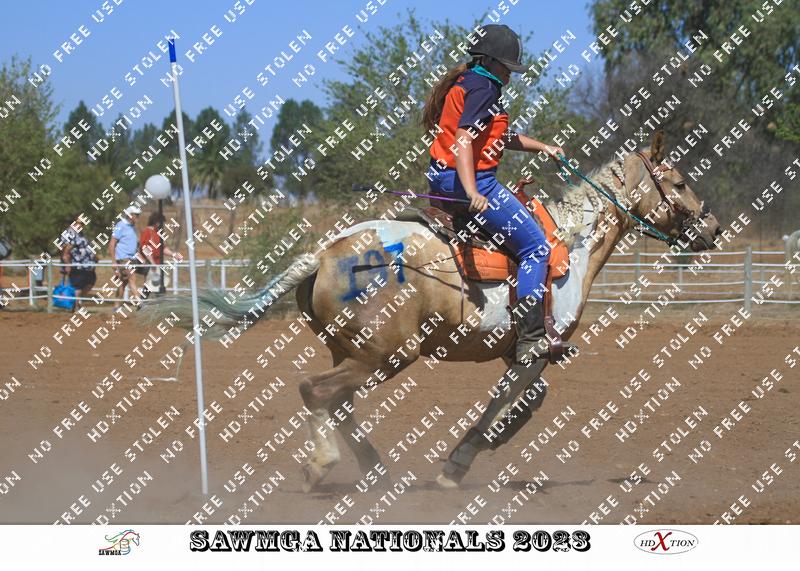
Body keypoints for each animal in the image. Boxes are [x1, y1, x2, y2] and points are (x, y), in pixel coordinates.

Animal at [147, 135, 721, 492]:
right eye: (681, 180)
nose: (713, 229)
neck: (569, 243)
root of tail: (328, 252)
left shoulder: (517, 351)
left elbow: (527, 402)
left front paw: (478, 449)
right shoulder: (536, 349)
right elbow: (511, 402)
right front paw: (457, 465)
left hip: (353, 350)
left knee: (337, 401)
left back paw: (375, 470)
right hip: (387, 354)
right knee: (316, 391)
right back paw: (322, 466)